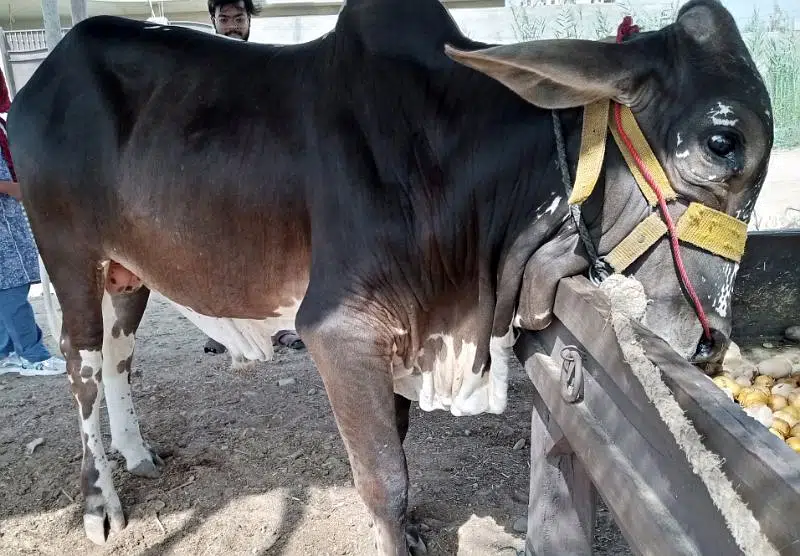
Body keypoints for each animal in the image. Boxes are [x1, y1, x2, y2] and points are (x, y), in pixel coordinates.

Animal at [7, 0, 772, 553]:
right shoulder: (338, 329)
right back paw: (100, 503)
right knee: (81, 365)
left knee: (117, 358)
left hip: (128, 272)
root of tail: (45, 74)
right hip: (69, 254)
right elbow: (385, 475)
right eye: (721, 142)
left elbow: (397, 444)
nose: (711, 343)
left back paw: (136, 455)